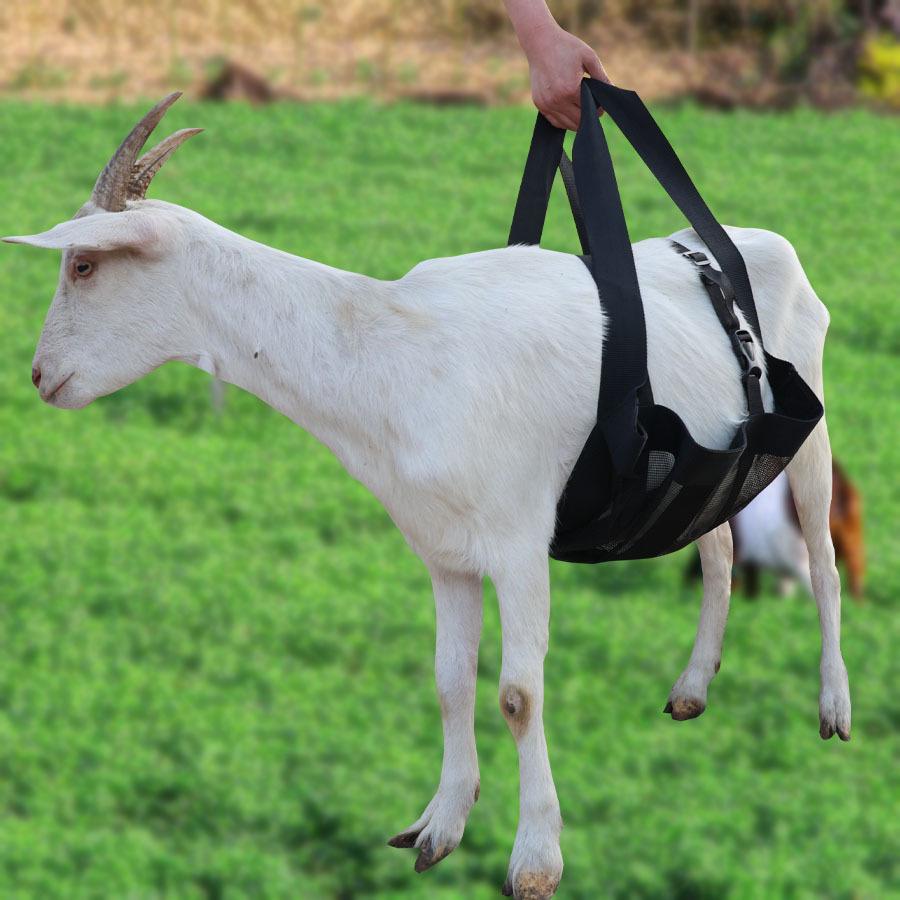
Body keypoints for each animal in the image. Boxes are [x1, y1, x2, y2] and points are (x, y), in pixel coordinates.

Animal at [4, 93, 851, 900]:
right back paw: (691, 690)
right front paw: (437, 830)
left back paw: (834, 708)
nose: (42, 377)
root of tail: (759, 241)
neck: (393, 356)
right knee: (717, 543)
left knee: (823, 560)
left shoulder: (518, 542)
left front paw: (535, 862)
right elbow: (450, 683)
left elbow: (518, 693)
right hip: (707, 453)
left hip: (809, 428)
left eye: (83, 266)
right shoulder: (444, 550)